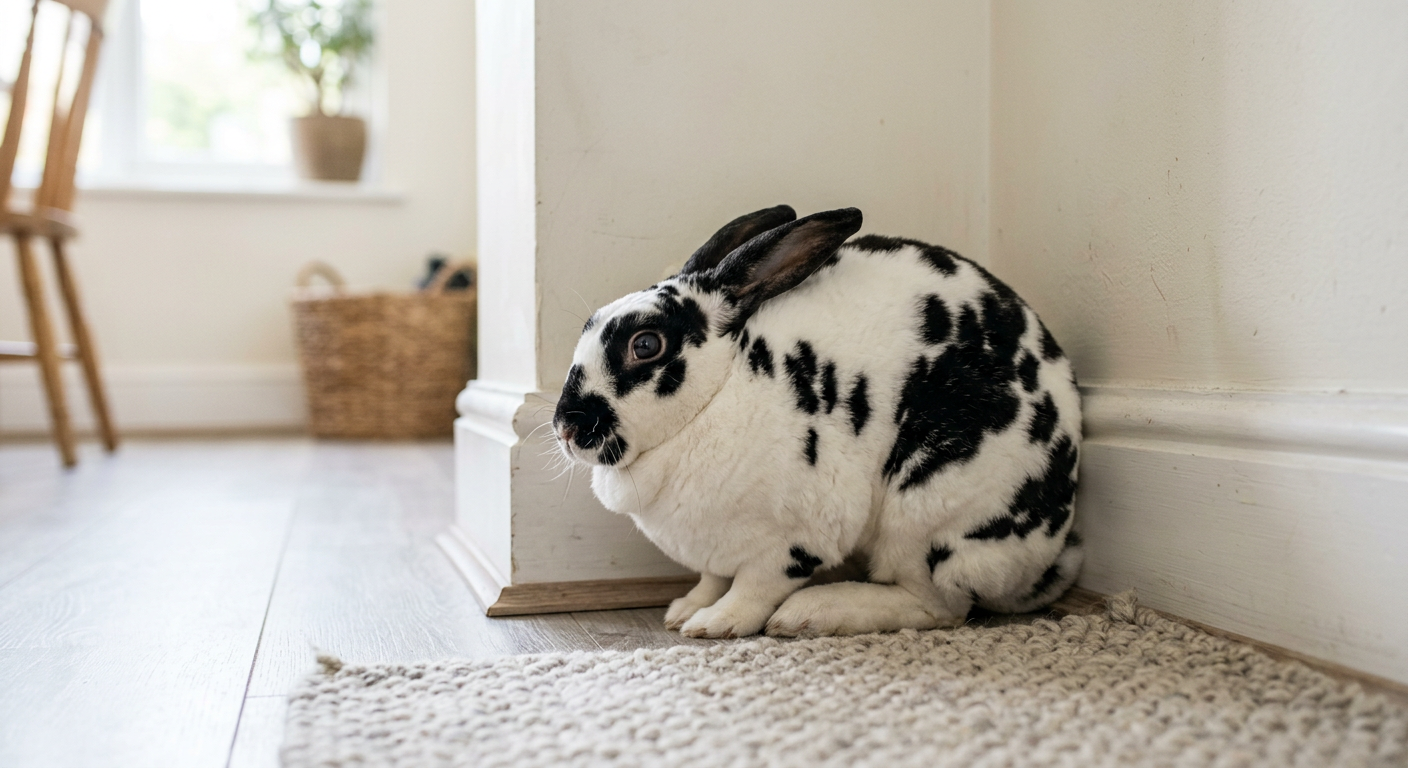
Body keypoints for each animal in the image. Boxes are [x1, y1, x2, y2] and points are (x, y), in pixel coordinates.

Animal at [552, 205, 1082, 639]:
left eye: (645, 345)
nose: (565, 427)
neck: (716, 393)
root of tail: (1046, 560)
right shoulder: (716, 550)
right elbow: (713, 578)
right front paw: (685, 609)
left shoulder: (793, 539)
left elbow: (753, 587)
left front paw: (715, 624)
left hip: (925, 514)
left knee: (938, 605)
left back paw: (812, 613)